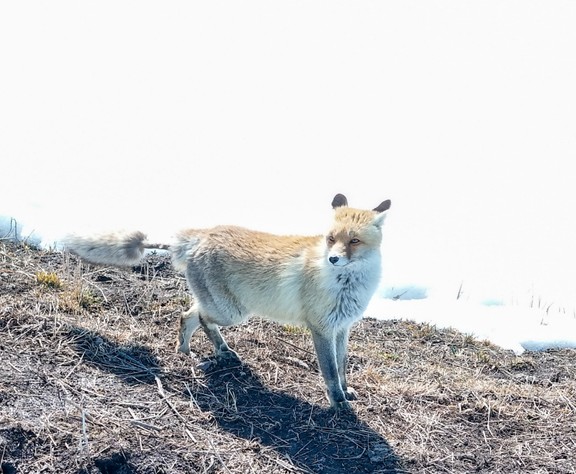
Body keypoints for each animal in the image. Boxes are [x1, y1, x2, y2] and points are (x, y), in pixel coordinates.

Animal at [66, 194, 392, 410]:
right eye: (330, 239)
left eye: (354, 241)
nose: (333, 259)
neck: (347, 285)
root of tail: (201, 234)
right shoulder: (321, 328)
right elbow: (330, 371)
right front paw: (338, 403)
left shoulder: (342, 327)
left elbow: (342, 365)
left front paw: (346, 392)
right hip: (232, 312)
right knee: (195, 317)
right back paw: (213, 351)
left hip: (225, 308)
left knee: (190, 314)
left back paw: (192, 350)